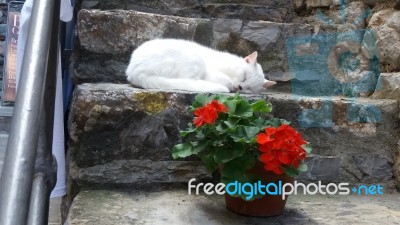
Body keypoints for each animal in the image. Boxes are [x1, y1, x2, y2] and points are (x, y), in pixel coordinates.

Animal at [125, 38, 276, 93]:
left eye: (249, 88)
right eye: (244, 76)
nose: (239, 87)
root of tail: (134, 71)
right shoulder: (211, 71)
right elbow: (225, 80)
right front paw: (227, 84)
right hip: (195, 60)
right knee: (188, 81)